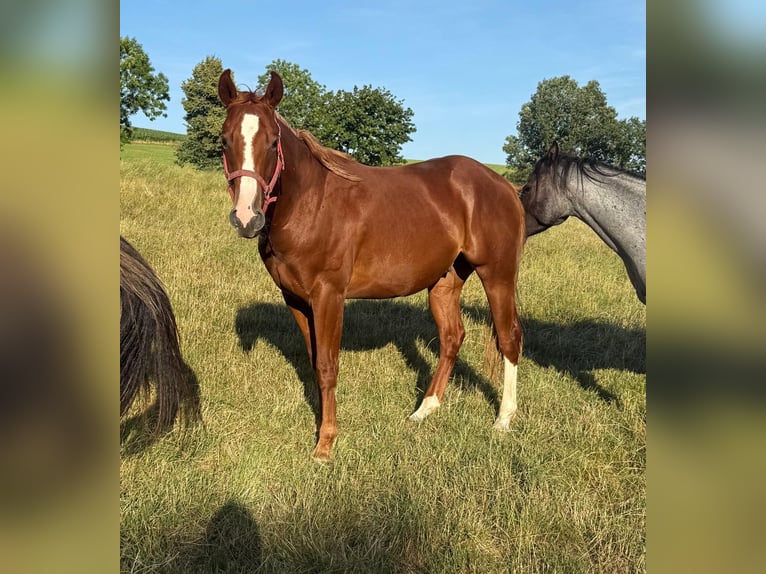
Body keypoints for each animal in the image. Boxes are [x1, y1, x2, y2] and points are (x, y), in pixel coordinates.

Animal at [218, 69, 526, 461]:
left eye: (273, 142)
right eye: (225, 140)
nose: (246, 218)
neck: (311, 204)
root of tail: (504, 185)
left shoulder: (329, 296)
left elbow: (327, 365)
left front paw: (325, 443)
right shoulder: (296, 299)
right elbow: (314, 361)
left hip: (498, 275)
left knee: (509, 337)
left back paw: (504, 419)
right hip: (444, 282)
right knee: (452, 337)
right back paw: (424, 409)